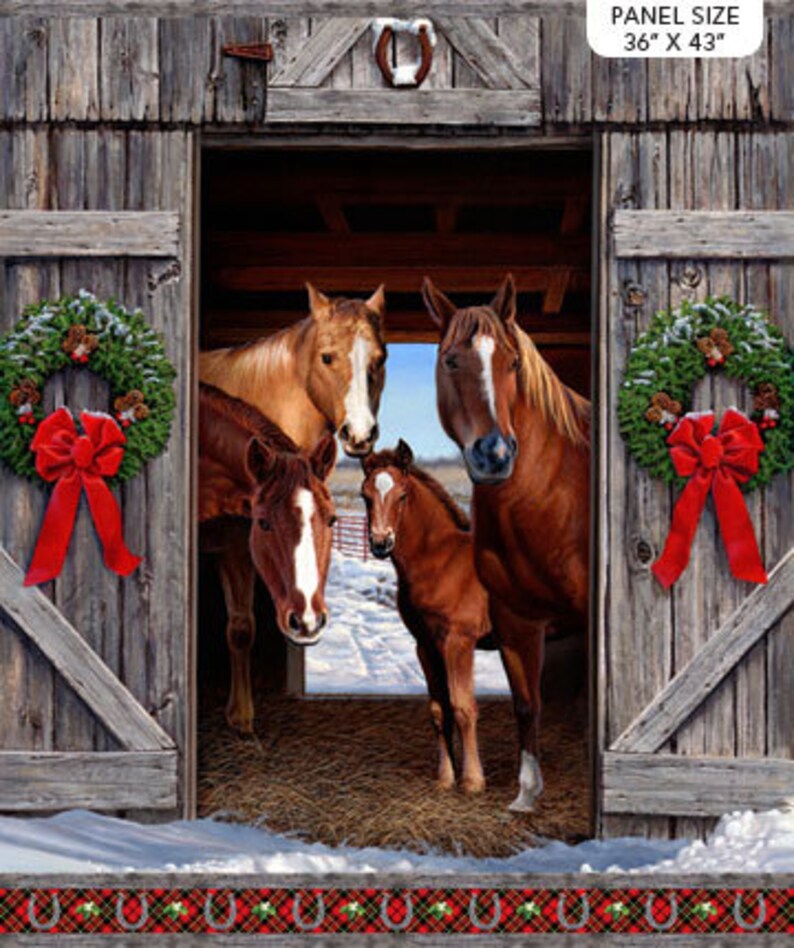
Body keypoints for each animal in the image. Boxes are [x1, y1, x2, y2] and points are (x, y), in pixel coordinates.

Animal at [199, 382, 337, 734]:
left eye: (332, 520)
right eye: (263, 523)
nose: (308, 621)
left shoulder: (235, 546)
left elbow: (241, 628)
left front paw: (240, 716)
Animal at [361, 440, 493, 794]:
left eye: (403, 495)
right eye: (365, 495)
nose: (381, 543)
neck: (442, 562)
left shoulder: (459, 642)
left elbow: (462, 706)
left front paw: (472, 781)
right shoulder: (426, 645)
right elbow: (438, 709)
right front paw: (445, 778)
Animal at [422, 273, 590, 812]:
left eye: (513, 363)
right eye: (451, 360)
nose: (494, 454)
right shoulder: (517, 619)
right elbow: (526, 704)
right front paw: (525, 793)